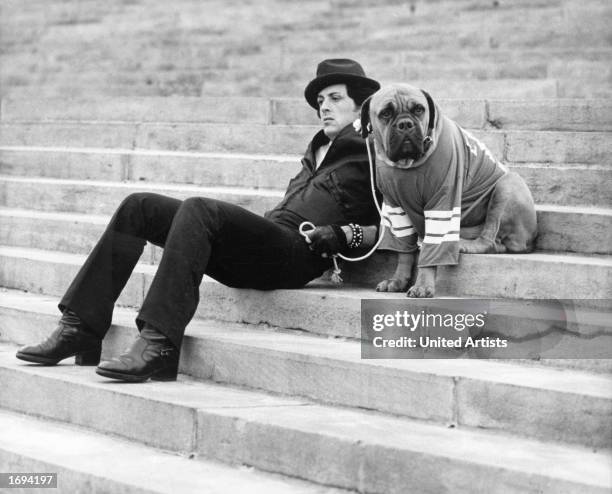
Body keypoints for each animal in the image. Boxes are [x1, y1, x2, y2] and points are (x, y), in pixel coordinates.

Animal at [360, 83, 536, 298]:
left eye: (419, 109)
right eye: (385, 113)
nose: (405, 124)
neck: (407, 165)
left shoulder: (442, 204)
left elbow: (432, 251)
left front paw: (423, 285)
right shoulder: (395, 208)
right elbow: (403, 251)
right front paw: (398, 280)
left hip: (508, 185)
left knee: (490, 240)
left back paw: (464, 245)